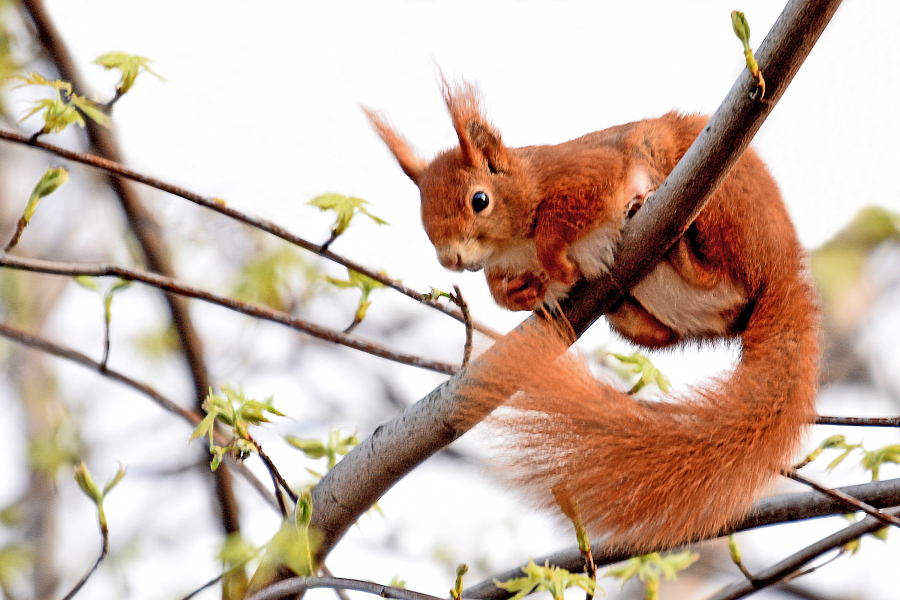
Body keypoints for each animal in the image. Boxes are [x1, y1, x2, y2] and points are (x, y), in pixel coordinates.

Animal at [364, 82, 816, 552]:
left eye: (479, 200)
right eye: (422, 215)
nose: (449, 260)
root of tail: (785, 272)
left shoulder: (586, 173)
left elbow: (559, 222)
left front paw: (557, 264)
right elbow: (501, 292)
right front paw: (527, 293)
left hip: (726, 209)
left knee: (727, 274)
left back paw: (678, 247)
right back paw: (628, 303)